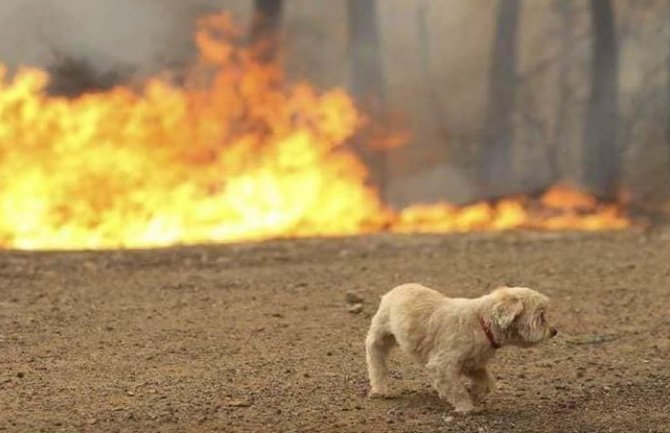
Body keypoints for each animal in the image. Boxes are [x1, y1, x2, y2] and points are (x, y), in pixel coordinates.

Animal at [364, 284, 560, 412]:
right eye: (540, 316)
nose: (554, 331)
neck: (482, 322)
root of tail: (396, 289)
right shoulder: (443, 364)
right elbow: (456, 389)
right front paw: (466, 406)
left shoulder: (473, 363)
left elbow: (487, 382)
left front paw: (475, 394)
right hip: (381, 333)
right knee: (375, 355)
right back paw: (380, 388)